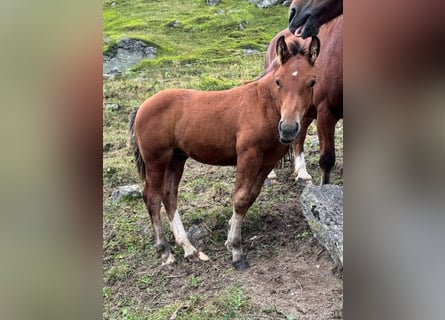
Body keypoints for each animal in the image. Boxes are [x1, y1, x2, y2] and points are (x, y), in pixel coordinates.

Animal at [128, 36, 320, 268]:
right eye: (278, 81)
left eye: (312, 82)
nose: (288, 129)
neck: (263, 105)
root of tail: (142, 107)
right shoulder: (248, 156)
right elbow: (240, 198)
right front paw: (236, 250)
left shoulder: (267, 162)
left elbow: (251, 197)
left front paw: (229, 239)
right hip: (156, 161)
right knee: (152, 197)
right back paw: (165, 252)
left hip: (176, 159)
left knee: (169, 195)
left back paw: (188, 247)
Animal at [266, 15, 342, 185]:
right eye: (278, 81)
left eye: (313, 82)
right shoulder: (325, 113)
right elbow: (327, 159)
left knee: (299, 137)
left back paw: (301, 172)